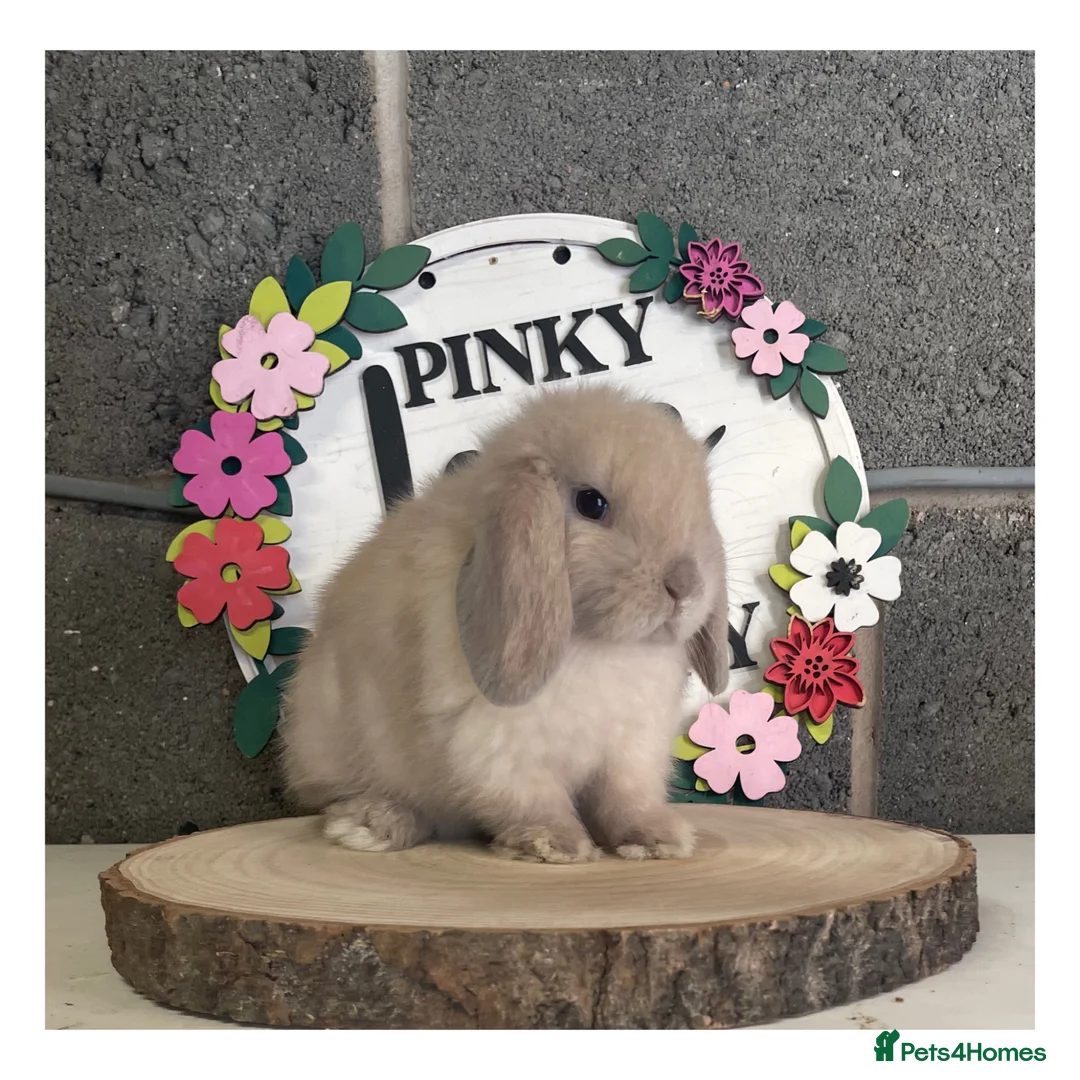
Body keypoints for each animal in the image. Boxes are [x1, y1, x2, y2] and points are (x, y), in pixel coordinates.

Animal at [278, 383, 729, 863]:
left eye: (701, 505)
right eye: (592, 503)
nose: (685, 585)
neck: (601, 643)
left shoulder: (631, 747)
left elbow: (627, 798)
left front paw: (658, 839)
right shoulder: (495, 745)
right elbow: (529, 798)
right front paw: (556, 845)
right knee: (349, 796)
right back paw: (372, 823)